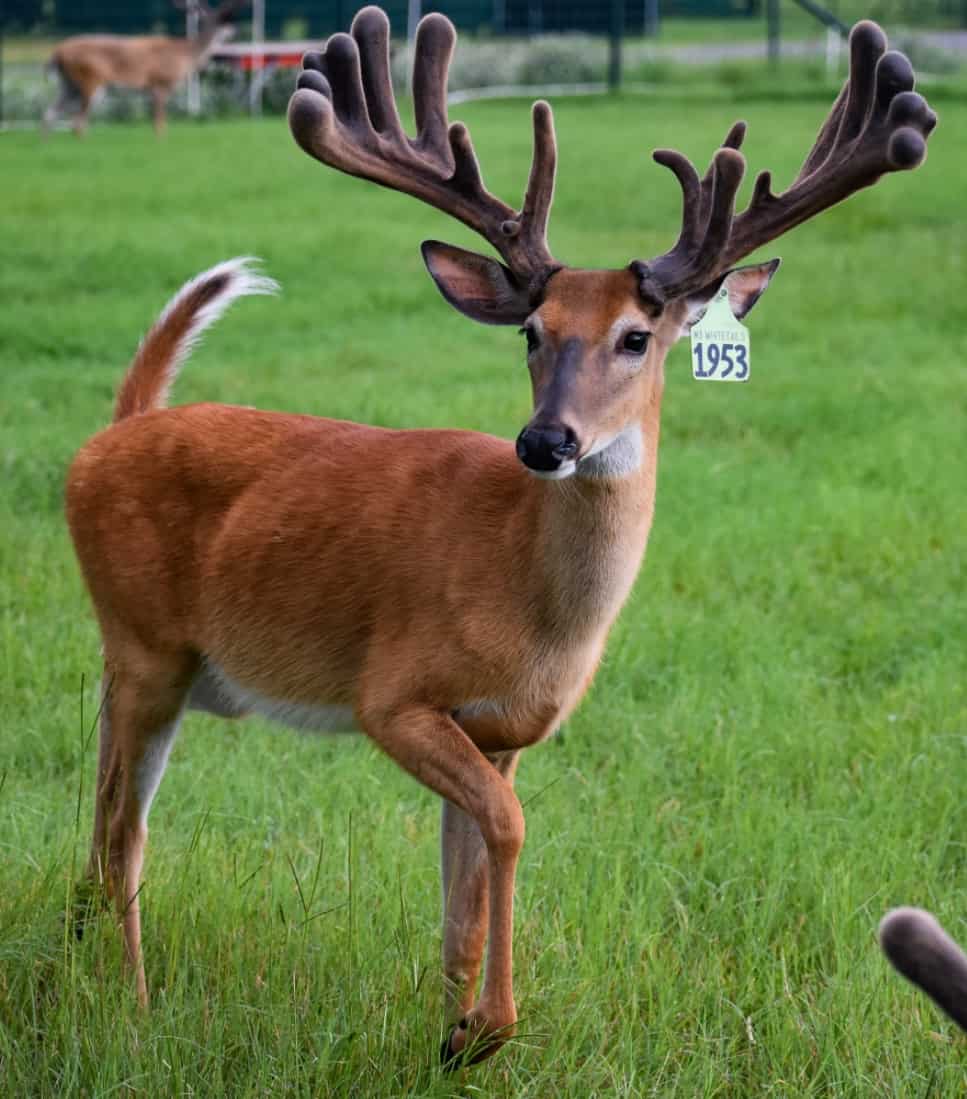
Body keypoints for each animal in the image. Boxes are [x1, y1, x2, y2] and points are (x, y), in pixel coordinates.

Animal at [44, 0, 246, 136]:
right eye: (221, 19)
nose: (235, 29)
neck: (185, 55)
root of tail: (57, 52)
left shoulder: (152, 88)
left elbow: (156, 121)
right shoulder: (160, 82)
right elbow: (159, 122)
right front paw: (161, 142)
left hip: (68, 84)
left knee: (50, 113)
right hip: (90, 80)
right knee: (77, 122)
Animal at [64, 6, 936, 1068]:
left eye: (636, 337)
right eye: (531, 330)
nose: (545, 440)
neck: (534, 601)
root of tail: (110, 435)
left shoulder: (504, 730)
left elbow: (462, 899)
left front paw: (449, 1031)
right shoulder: (393, 694)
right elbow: (510, 829)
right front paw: (486, 1028)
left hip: (149, 666)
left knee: (100, 813)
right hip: (146, 643)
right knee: (125, 835)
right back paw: (136, 1008)